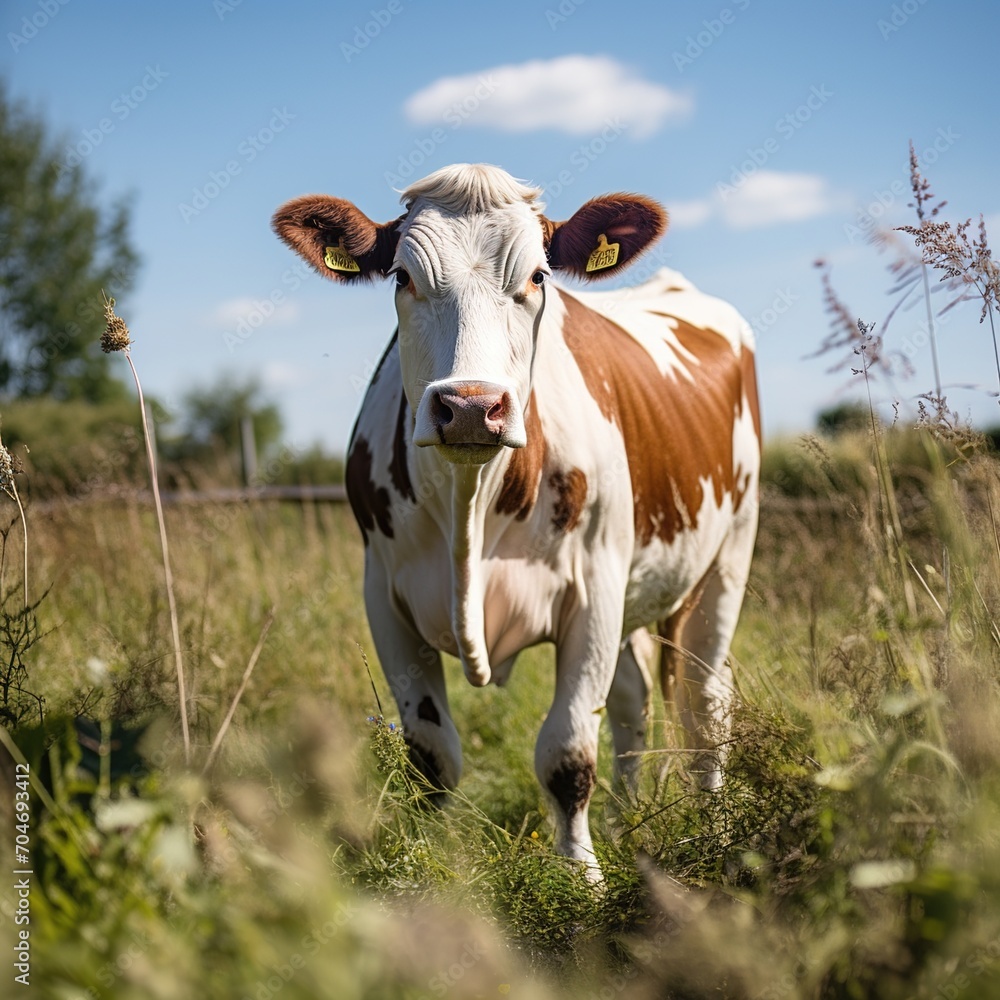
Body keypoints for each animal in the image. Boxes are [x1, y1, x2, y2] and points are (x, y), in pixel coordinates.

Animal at [272, 163, 760, 873]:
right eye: (402, 277)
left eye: (538, 277)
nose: (472, 407)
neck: (471, 510)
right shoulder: (384, 597)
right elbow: (432, 754)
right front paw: (434, 864)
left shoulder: (595, 590)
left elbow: (567, 752)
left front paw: (582, 874)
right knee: (634, 700)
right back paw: (626, 822)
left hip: (727, 558)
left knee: (704, 703)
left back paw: (717, 833)